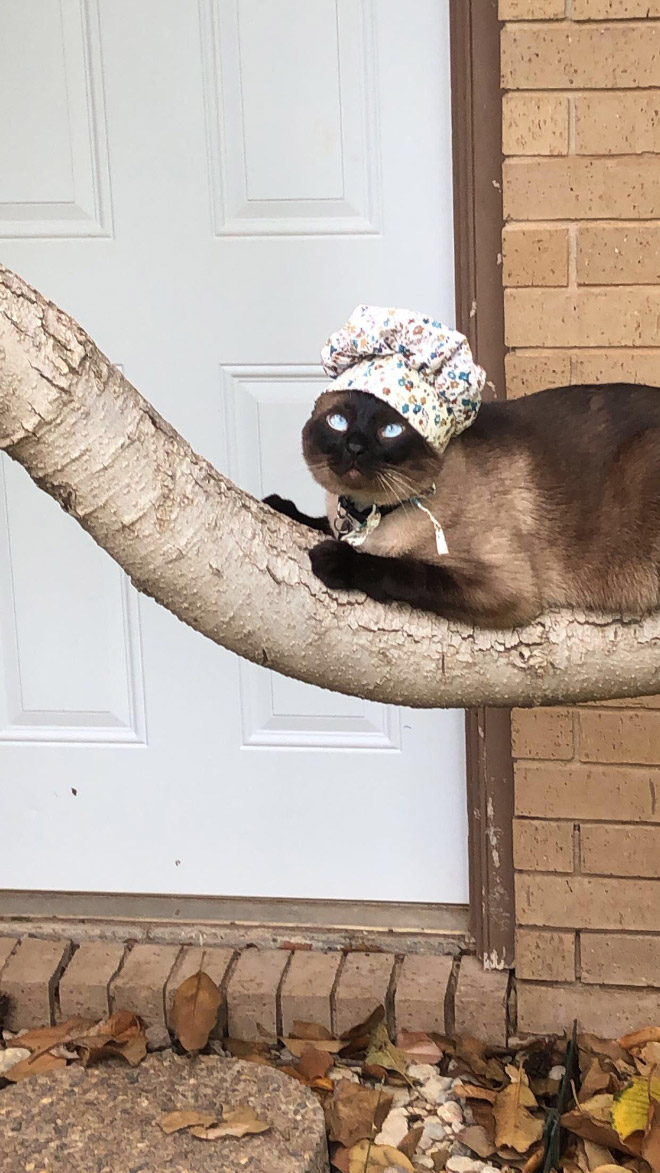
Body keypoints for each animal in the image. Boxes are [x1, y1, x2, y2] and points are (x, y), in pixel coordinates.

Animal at [266, 384, 660, 628]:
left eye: (391, 430)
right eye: (338, 422)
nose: (355, 447)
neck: (369, 514)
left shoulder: (505, 589)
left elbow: (406, 572)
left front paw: (335, 560)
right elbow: (317, 521)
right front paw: (279, 506)